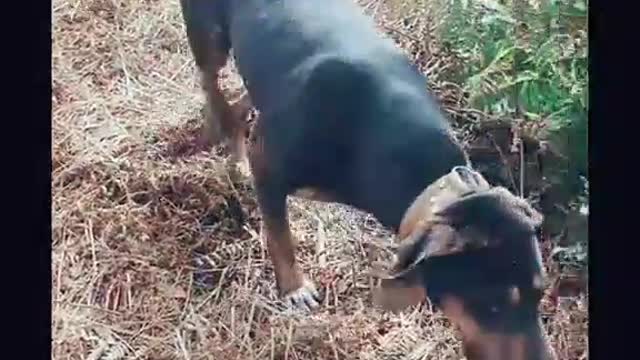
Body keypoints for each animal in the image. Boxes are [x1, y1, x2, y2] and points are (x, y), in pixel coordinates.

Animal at [179, 0, 556, 360]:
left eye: (540, 293)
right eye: (490, 306)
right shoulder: (267, 162)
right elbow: (279, 234)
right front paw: (294, 288)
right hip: (208, 37)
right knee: (210, 80)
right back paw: (225, 136)